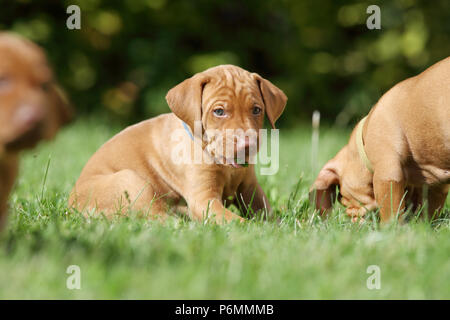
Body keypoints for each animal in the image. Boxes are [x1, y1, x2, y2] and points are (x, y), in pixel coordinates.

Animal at [69, 63, 288, 221]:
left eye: (257, 110)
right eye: (219, 111)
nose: (246, 145)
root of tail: (71, 204)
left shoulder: (250, 189)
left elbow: (268, 213)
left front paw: (278, 228)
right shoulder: (204, 200)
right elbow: (236, 222)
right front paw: (255, 231)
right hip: (131, 180)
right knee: (157, 218)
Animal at [312, 57, 450, 222]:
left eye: (342, 198)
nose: (350, 217)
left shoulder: (388, 172)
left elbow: (391, 212)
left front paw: (392, 228)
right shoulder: (437, 186)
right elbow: (429, 209)